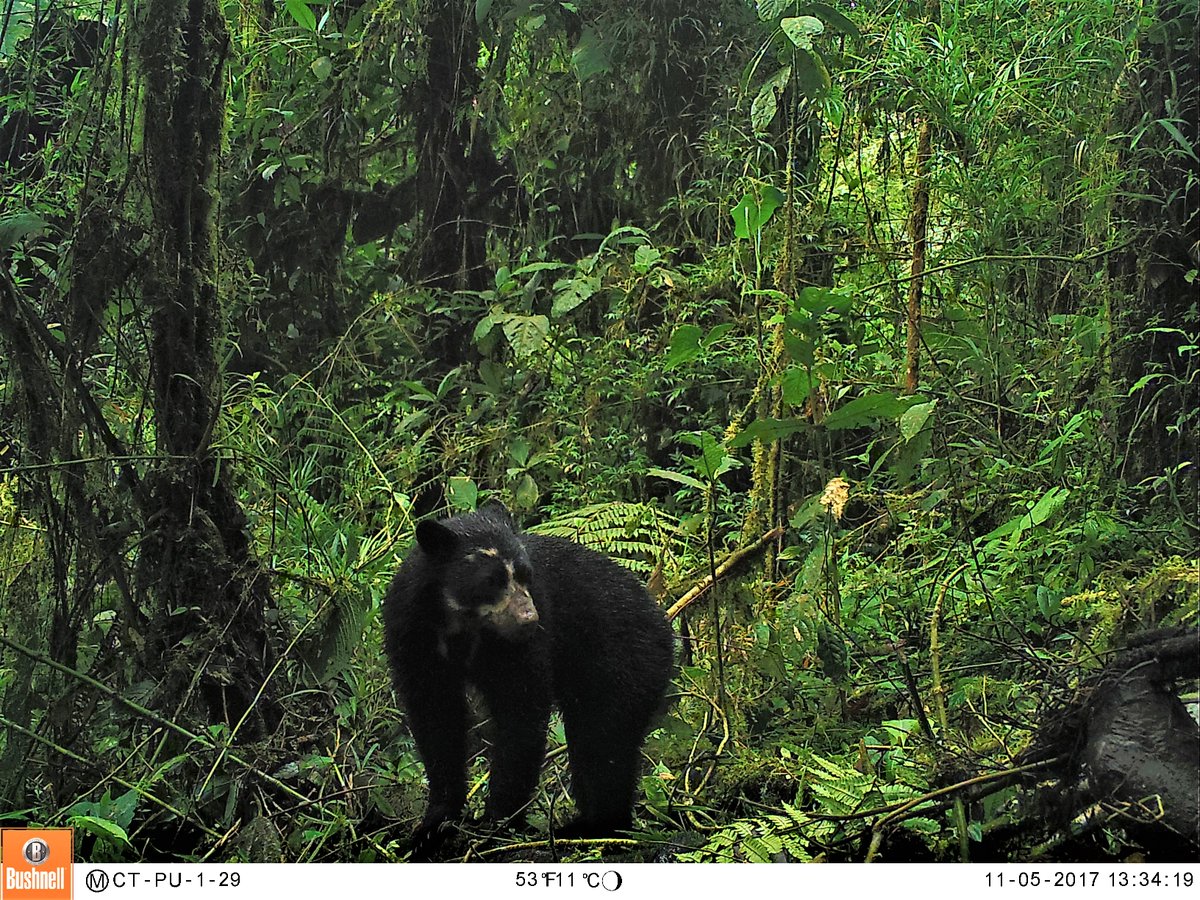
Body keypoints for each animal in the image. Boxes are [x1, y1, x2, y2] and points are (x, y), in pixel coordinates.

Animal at [383, 503, 674, 859]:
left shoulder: (519, 647)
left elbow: (520, 712)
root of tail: (664, 624)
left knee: (603, 741)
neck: (459, 623)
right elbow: (435, 719)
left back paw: (597, 828)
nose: (529, 619)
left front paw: (495, 825)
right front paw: (432, 828)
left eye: (526, 576)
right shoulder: (412, 634)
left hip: (623, 662)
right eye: (491, 581)